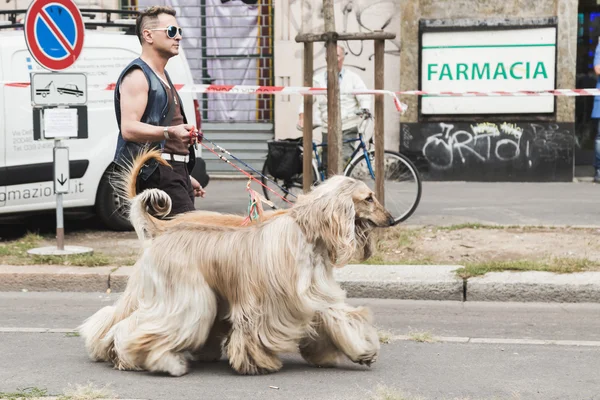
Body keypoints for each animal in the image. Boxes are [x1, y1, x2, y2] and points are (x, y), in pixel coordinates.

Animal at [84, 174, 394, 376]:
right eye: (369, 198)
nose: (391, 219)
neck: (308, 231)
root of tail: (160, 232)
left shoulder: (313, 295)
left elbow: (339, 316)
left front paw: (356, 352)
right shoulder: (277, 302)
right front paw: (258, 364)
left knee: (118, 320)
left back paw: (117, 355)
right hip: (187, 297)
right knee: (137, 328)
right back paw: (166, 363)